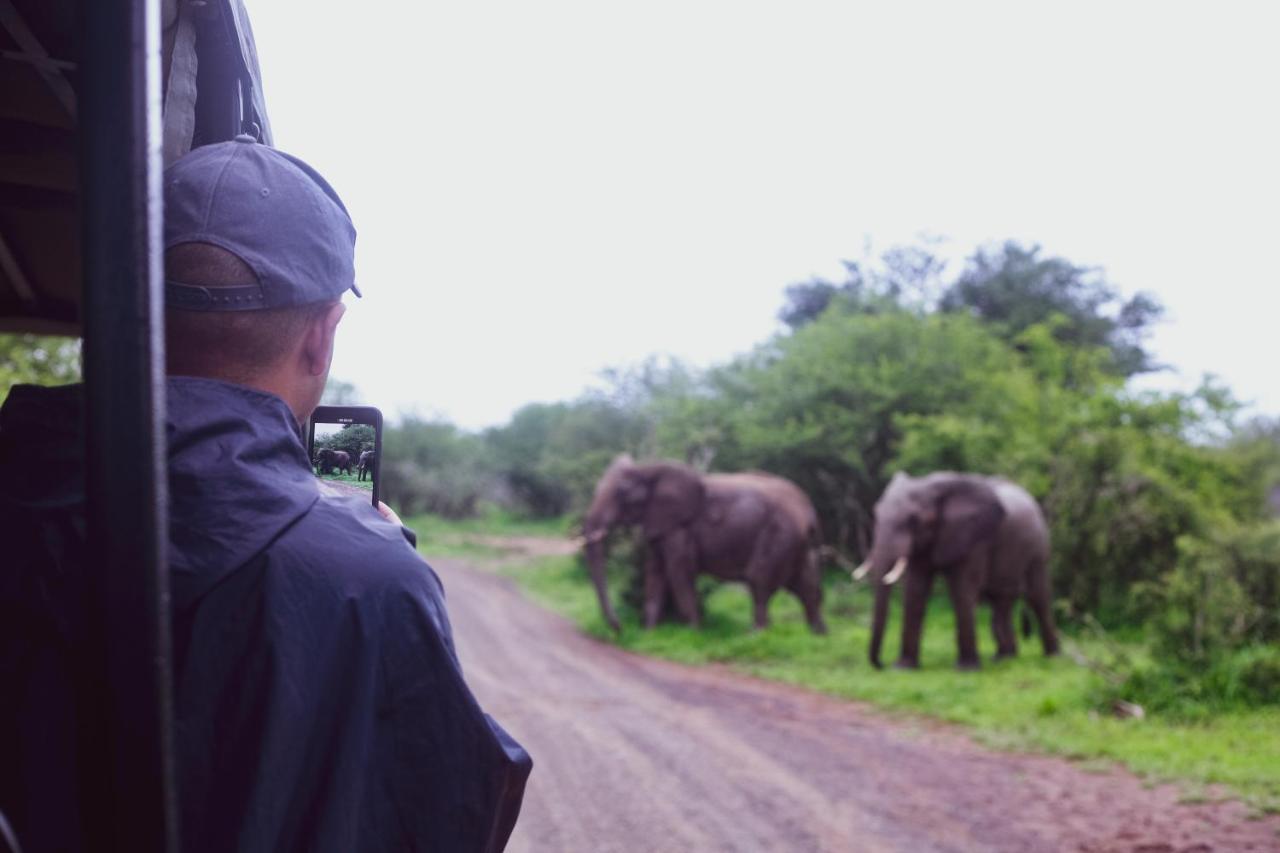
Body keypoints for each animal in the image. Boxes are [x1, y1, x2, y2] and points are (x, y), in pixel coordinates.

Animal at [583, 455, 824, 635]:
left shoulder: (679, 528)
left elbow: (678, 572)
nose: (620, 629)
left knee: (760, 582)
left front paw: (693, 633)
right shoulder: (660, 523)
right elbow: (655, 573)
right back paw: (818, 636)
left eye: (621, 492)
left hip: (779, 533)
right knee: (807, 585)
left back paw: (756, 635)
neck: (648, 468)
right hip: (797, 543)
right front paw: (649, 634)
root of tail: (808, 510)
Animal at [849, 468, 1059, 666]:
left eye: (914, 520)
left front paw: (967, 668)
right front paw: (903, 667)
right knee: (1000, 601)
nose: (881, 664)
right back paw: (1004, 658)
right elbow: (915, 590)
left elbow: (962, 589)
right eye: (876, 514)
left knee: (1037, 597)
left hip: (1038, 546)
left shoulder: (974, 537)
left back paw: (1052, 657)